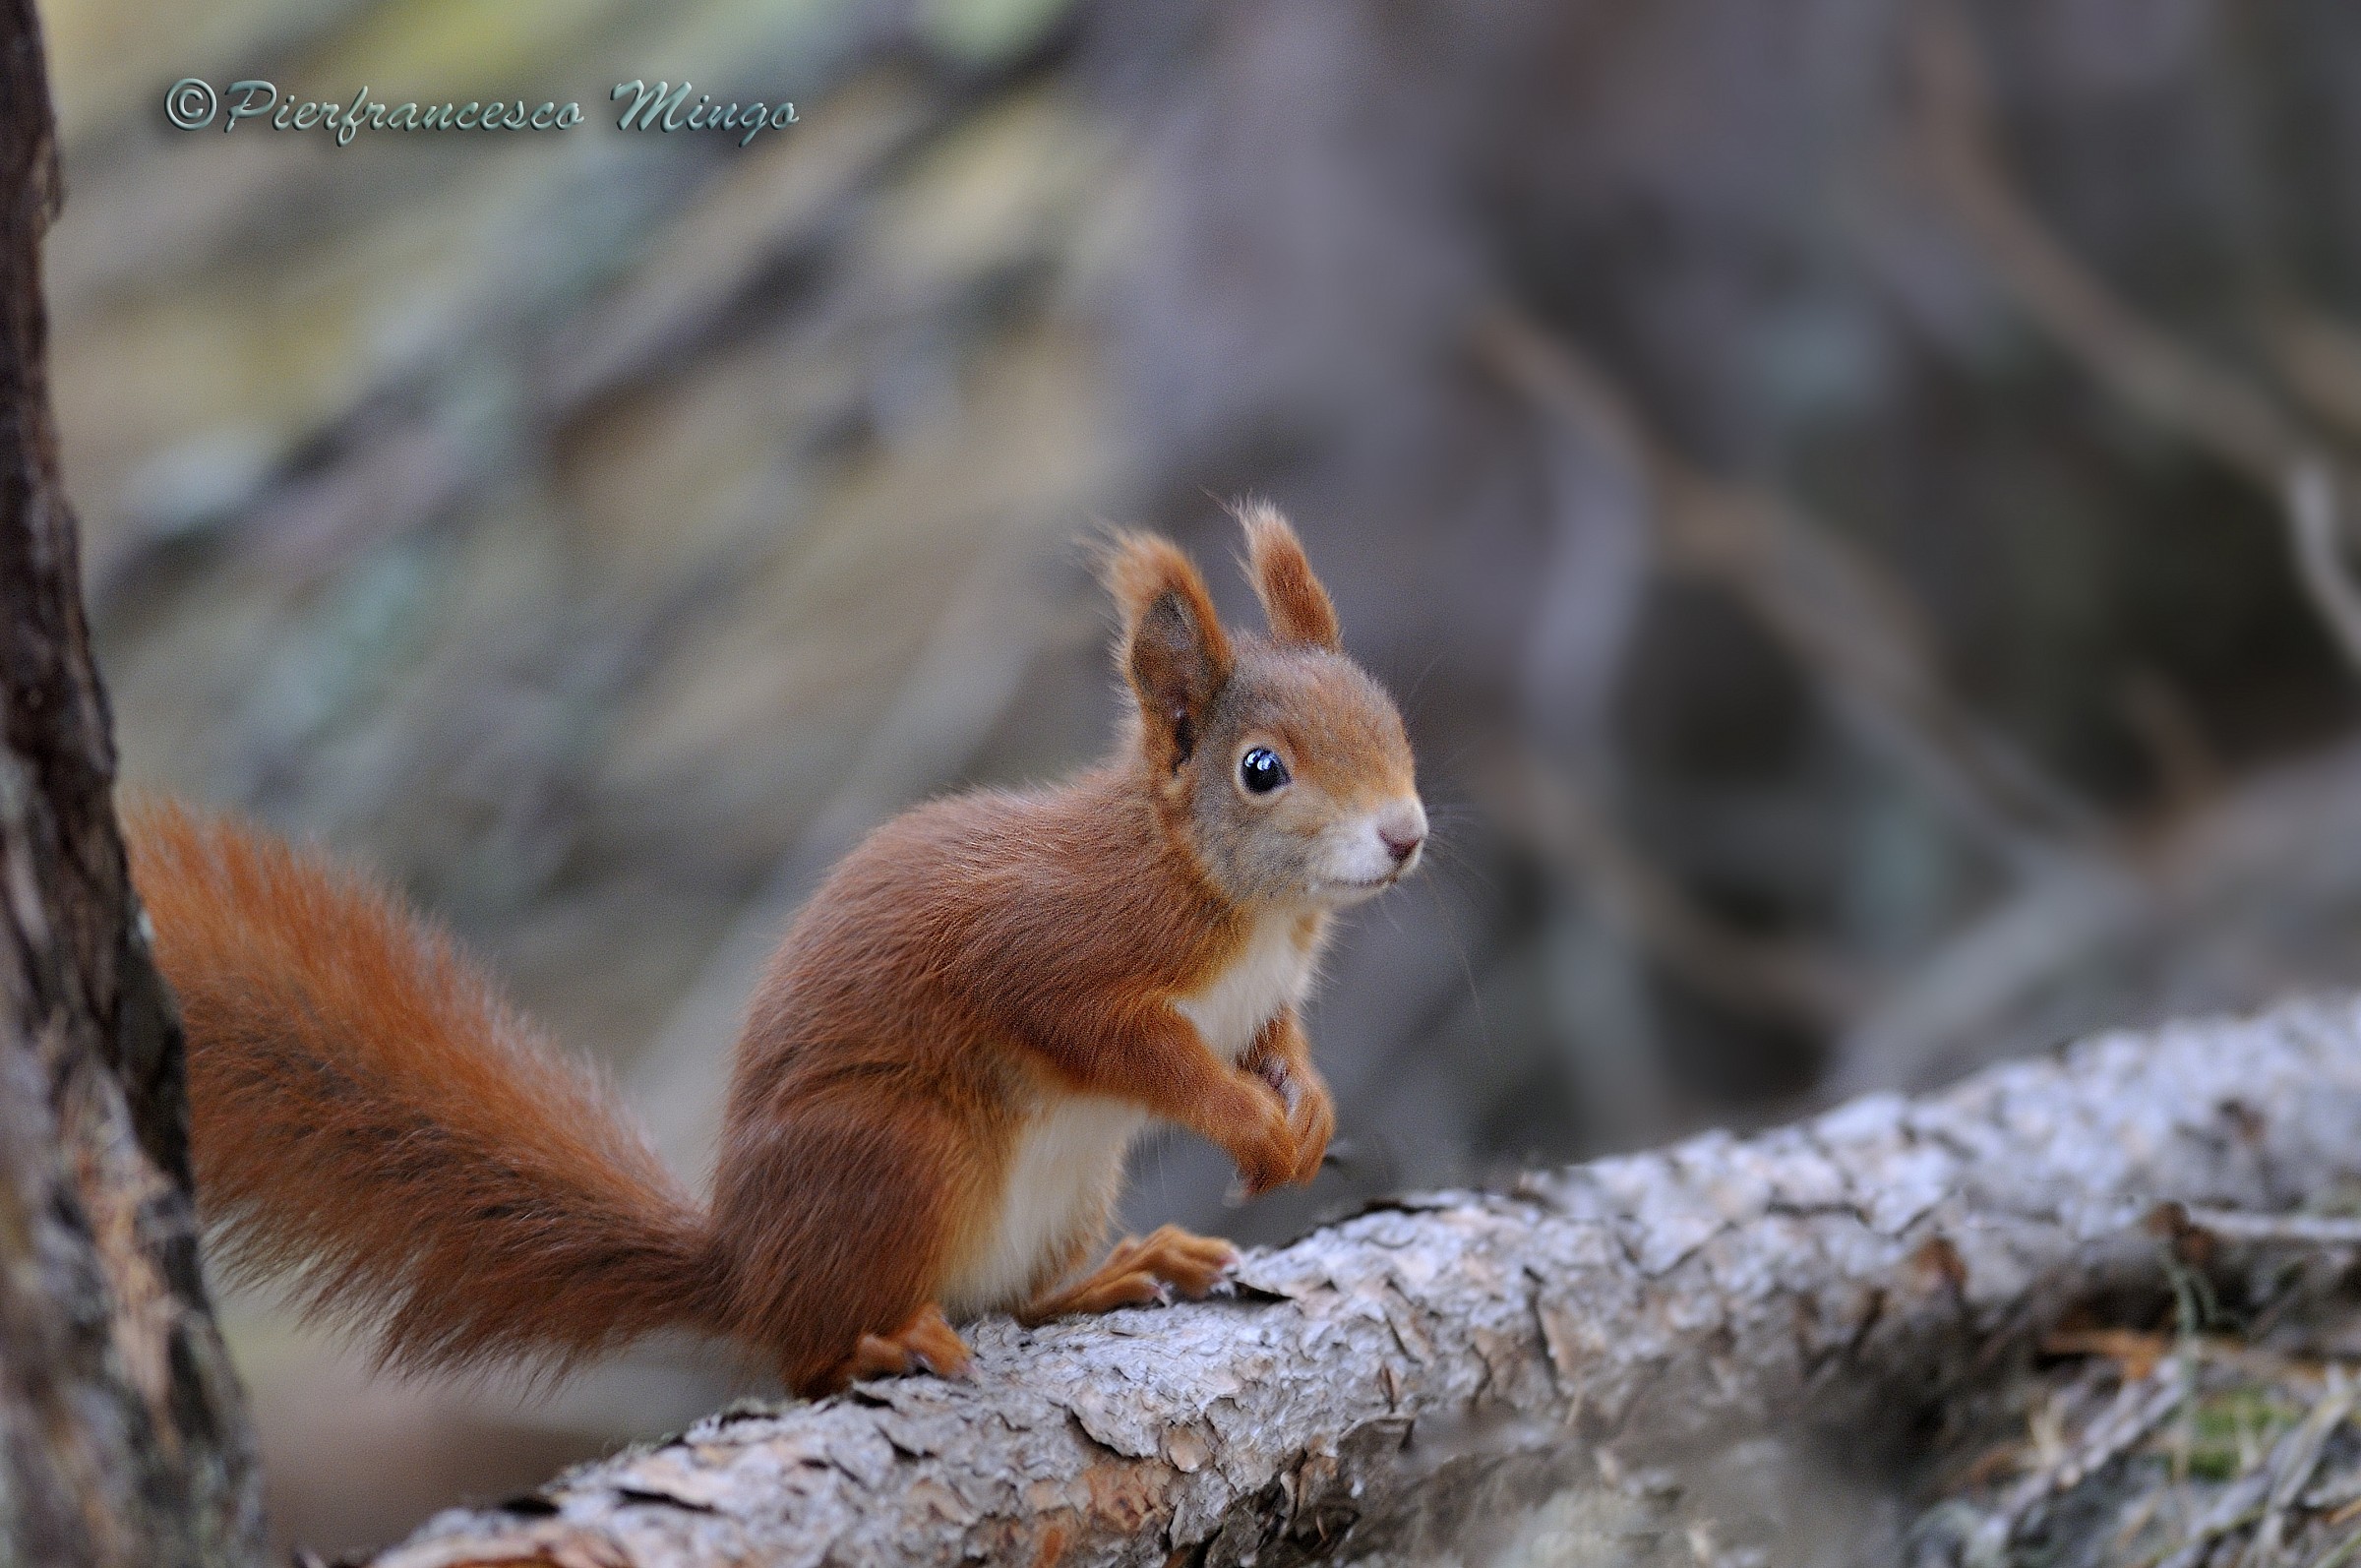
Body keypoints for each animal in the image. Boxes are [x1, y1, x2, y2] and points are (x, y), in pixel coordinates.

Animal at [124, 505, 1417, 1398]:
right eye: (1261, 770)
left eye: (1390, 717)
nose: (1406, 834)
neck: (1243, 904)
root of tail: (746, 1268)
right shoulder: (1059, 953)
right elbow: (1136, 1051)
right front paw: (1250, 1126)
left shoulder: (1261, 996)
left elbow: (1275, 1041)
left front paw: (1307, 1109)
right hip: (905, 1154)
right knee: (812, 1357)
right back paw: (883, 1342)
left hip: (1058, 1186)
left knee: (1016, 1298)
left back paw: (1110, 1269)